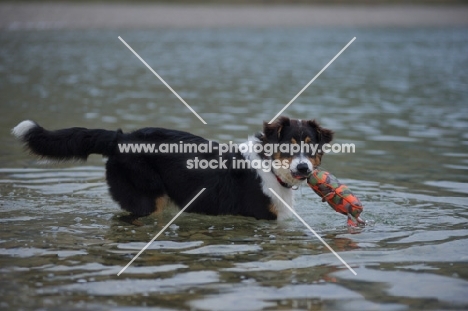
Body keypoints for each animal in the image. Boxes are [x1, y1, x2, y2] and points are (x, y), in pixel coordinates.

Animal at [11, 117, 332, 222]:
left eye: (310, 148)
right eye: (288, 146)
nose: (303, 167)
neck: (269, 166)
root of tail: (121, 138)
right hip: (147, 199)